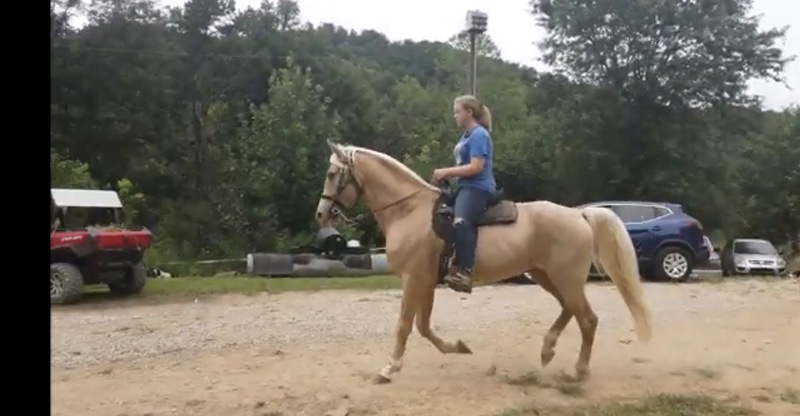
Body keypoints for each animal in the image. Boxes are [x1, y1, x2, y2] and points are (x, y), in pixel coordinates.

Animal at [315, 140, 653, 383]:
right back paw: (548, 350)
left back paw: (579, 370)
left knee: (588, 319)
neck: (408, 210)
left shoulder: (414, 279)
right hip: (545, 276)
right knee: (570, 310)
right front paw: (458, 347)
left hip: (565, 279)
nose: (320, 214)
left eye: (332, 174)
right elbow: (423, 327)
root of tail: (578, 214)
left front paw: (389, 368)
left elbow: (404, 325)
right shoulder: (426, 283)